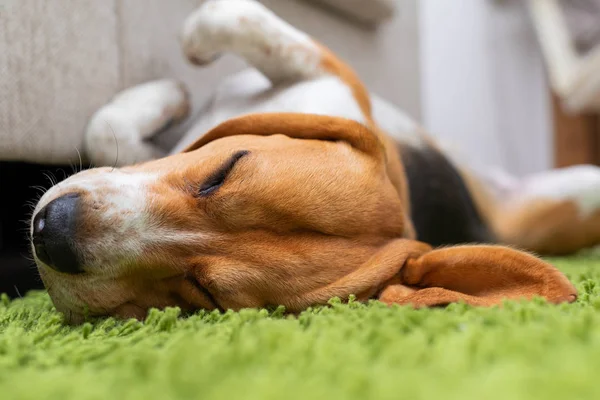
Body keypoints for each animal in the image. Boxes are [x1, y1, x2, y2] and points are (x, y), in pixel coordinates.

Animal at [30, 0, 588, 324]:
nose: (50, 231)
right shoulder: (329, 77)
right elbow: (227, 17)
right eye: (224, 172)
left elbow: (223, 17)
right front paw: (169, 96)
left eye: (203, 292)